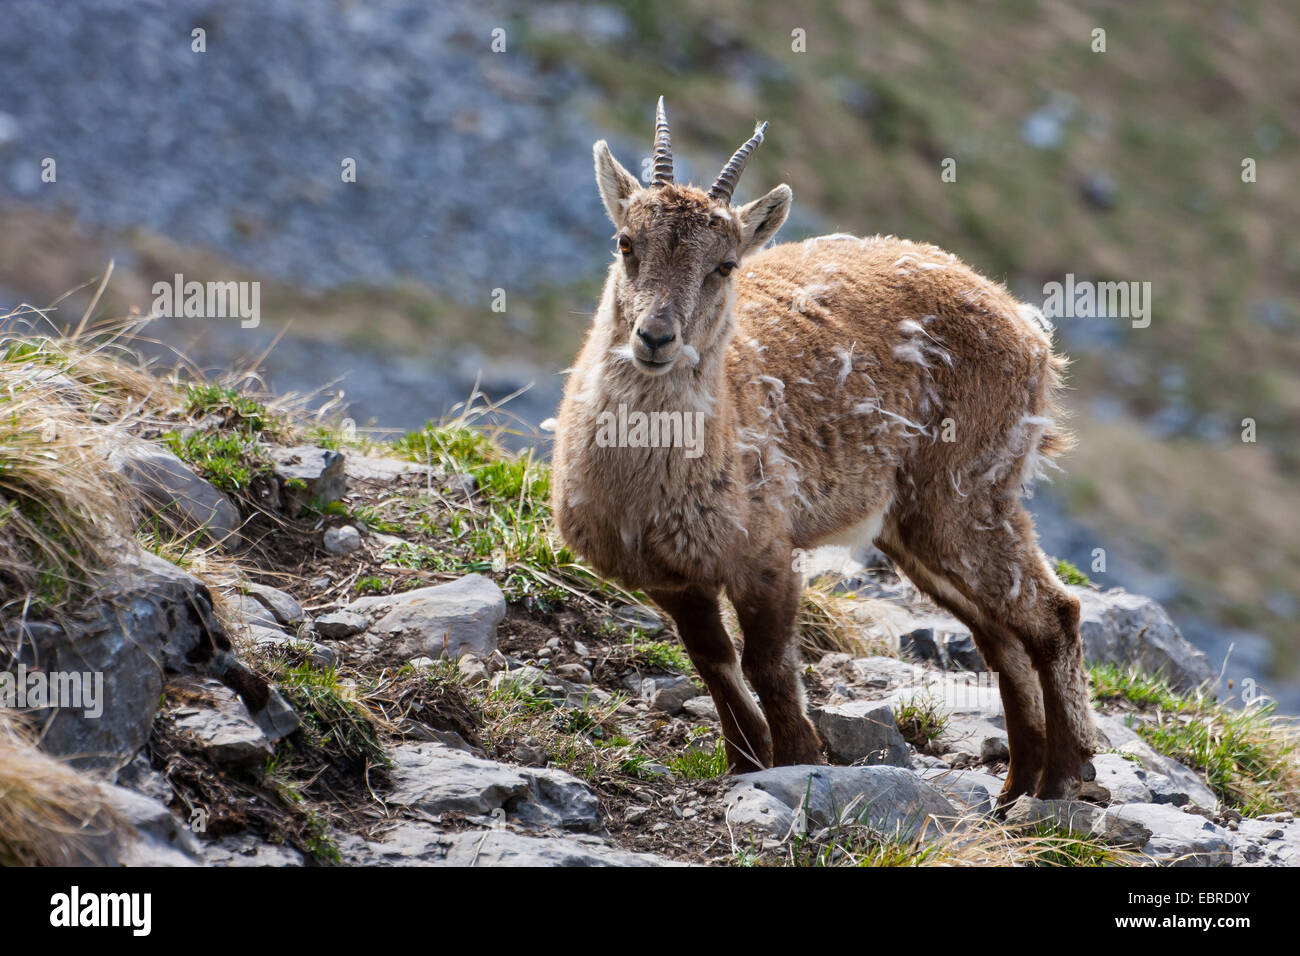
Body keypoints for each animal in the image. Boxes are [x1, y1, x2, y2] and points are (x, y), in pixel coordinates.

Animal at [551, 99, 1096, 802]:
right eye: (626, 242)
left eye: (725, 265)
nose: (655, 337)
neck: (645, 476)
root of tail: (1030, 332)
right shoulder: (671, 577)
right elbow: (712, 661)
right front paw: (743, 760)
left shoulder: (766, 555)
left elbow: (767, 665)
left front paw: (796, 759)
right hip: (913, 529)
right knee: (998, 634)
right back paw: (1015, 785)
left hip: (969, 493)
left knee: (1054, 612)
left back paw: (1061, 777)